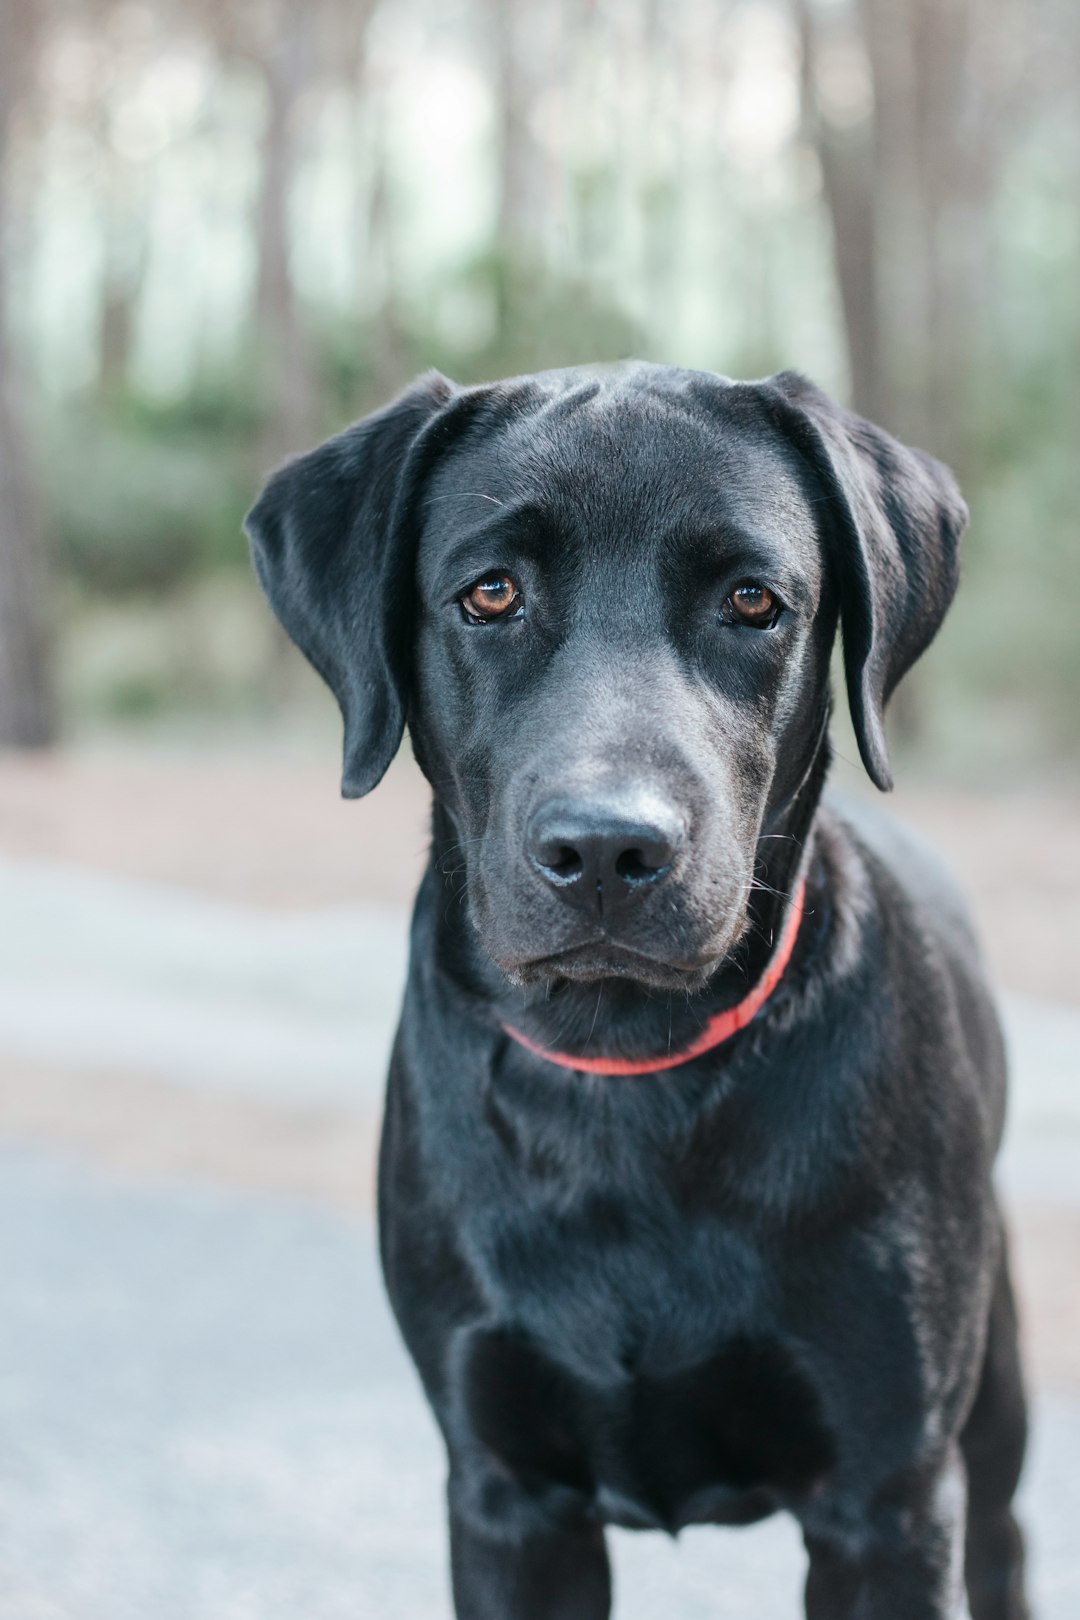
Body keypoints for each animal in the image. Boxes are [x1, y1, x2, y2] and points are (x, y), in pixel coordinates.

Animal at [247, 367, 1029, 1620]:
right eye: (491, 593)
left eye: (754, 600)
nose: (610, 849)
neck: (626, 1076)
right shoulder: (507, 1493)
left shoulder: (887, 1502)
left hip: (988, 1412)